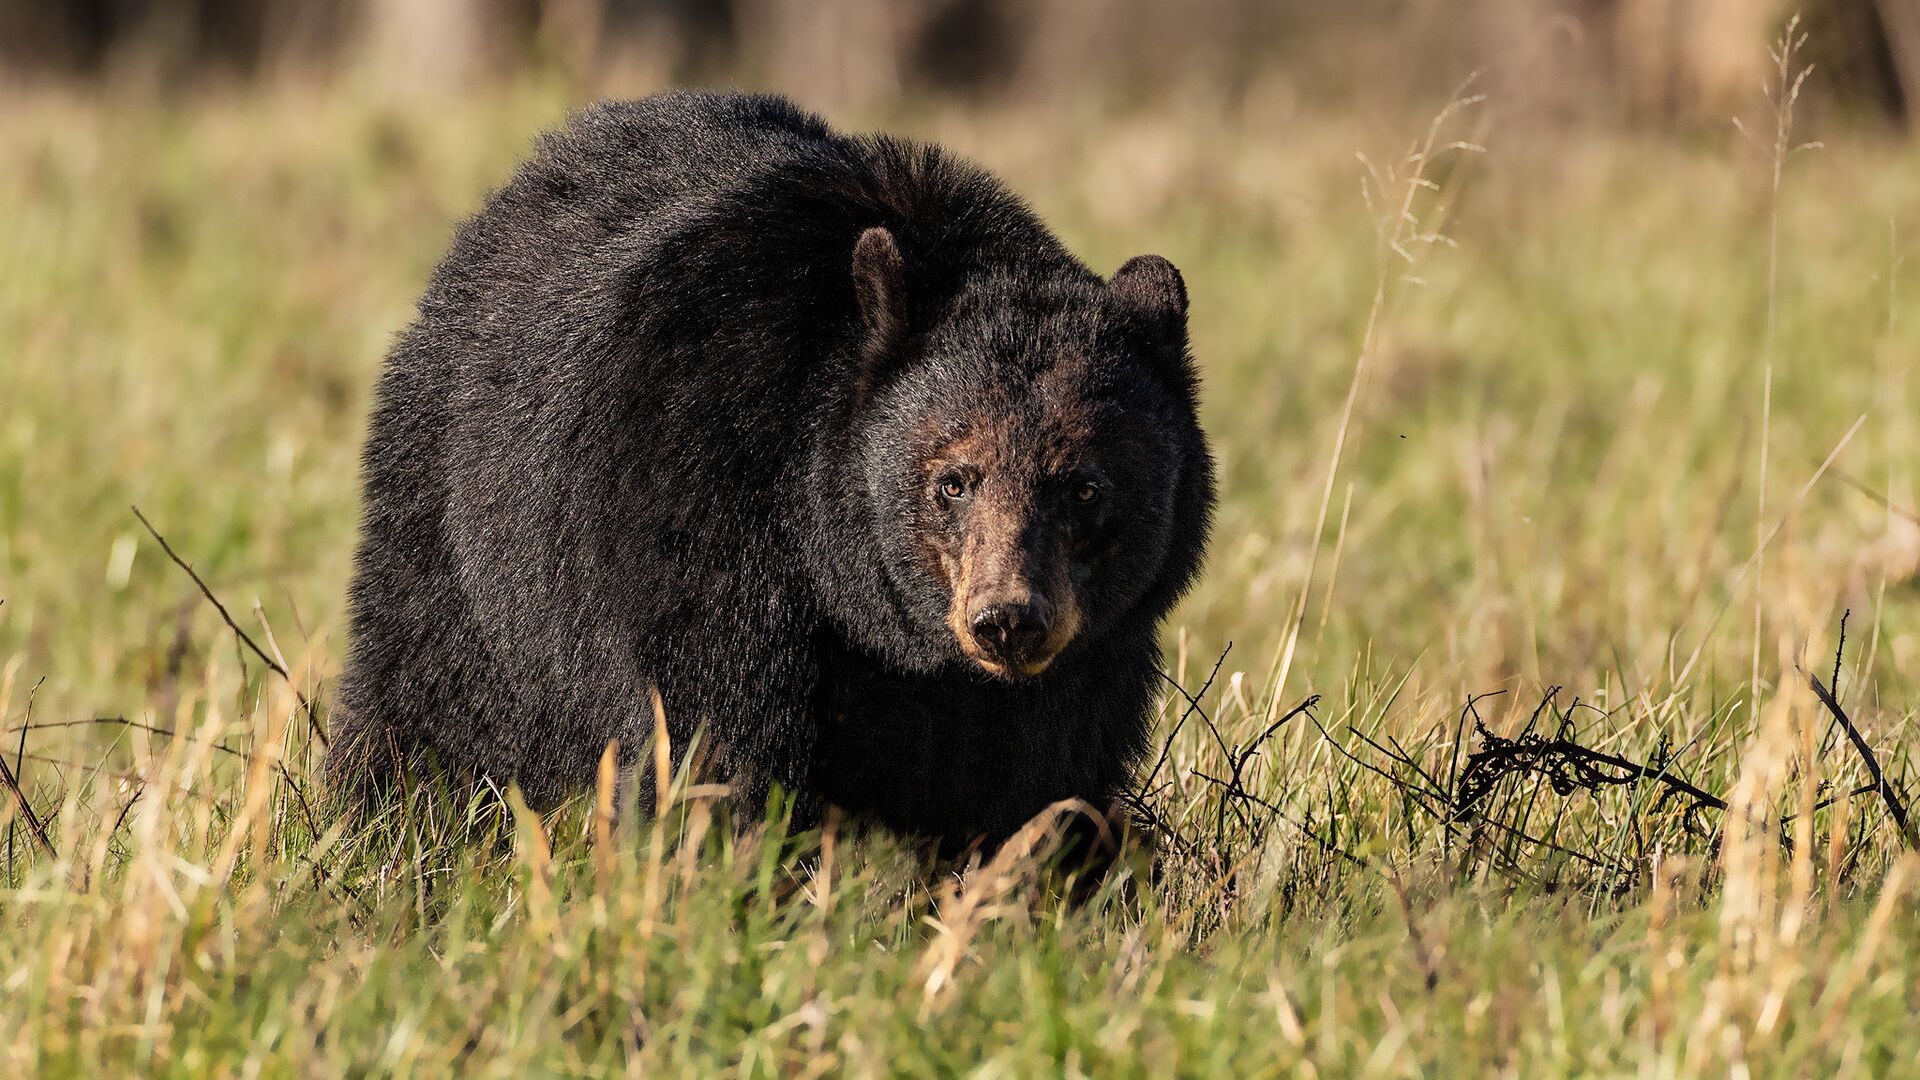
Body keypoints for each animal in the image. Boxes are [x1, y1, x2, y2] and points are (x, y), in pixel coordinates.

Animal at [320, 92, 1205, 845]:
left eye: (1084, 485)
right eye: (953, 480)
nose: (1009, 619)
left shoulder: (1088, 660)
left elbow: (1041, 784)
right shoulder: (697, 506)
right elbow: (716, 737)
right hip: (461, 529)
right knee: (426, 694)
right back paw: (384, 822)